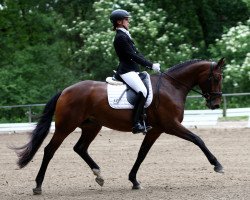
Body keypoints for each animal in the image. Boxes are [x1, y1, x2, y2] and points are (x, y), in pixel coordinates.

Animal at [12, 57, 226, 194]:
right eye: (216, 78)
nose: (215, 104)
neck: (172, 86)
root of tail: (65, 90)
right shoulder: (170, 125)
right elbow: (198, 139)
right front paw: (217, 165)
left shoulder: (156, 130)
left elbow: (142, 153)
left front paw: (134, 180)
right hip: (66, 126)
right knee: (49, 150)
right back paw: (38, 185)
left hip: (91, 126)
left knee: (80, 148)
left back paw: (99, 175)